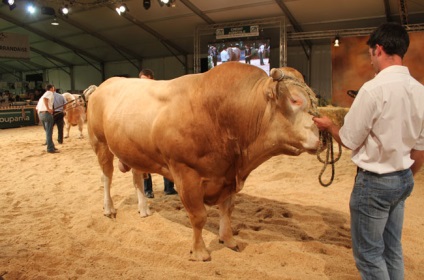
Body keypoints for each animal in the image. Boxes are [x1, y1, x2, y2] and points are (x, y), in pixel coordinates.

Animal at [85, 62, 318, 262]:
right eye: (295, 100)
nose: (322, 133)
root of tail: (103, 85)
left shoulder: (227, 176)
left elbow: (227, 210)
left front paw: (229, 240)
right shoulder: (185, 173)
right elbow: (198, 216)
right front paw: (199, 252)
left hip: (133, 149)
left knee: (137, 177)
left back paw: (143, 209)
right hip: (100, 143)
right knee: (106, 178)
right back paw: (109, 209)